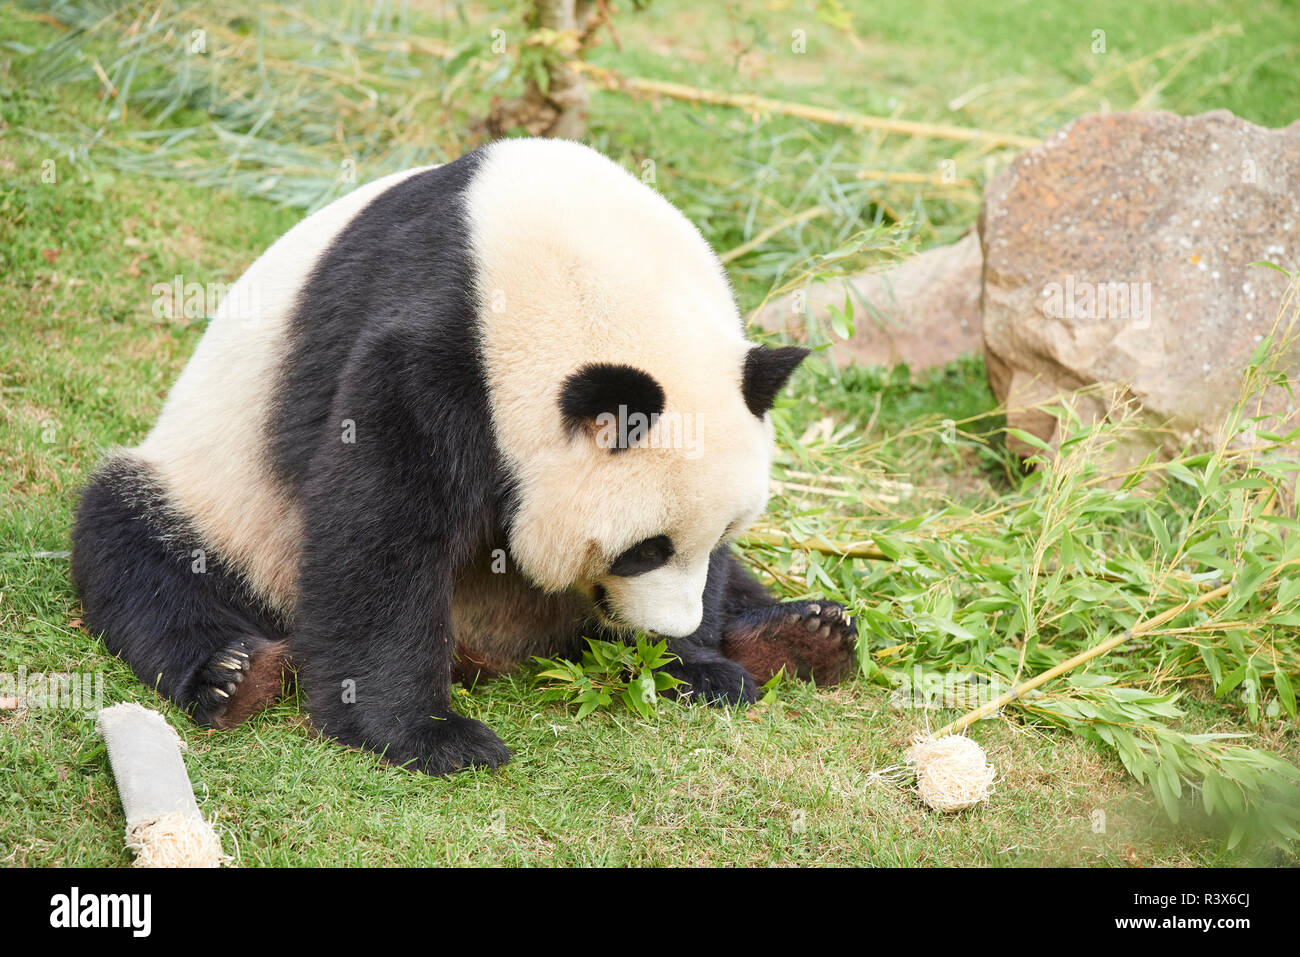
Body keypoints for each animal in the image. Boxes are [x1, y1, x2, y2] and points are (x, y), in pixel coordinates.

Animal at [76, 138, 857, 774]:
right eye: (644, 550)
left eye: (723, 532)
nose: (668, 627)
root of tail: (495, 648)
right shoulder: (438, 348)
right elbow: (382, 530)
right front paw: (429, 736)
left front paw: (697, 668)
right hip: (225, 493)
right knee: (140, 548)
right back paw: (234, 675)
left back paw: (806, 633)